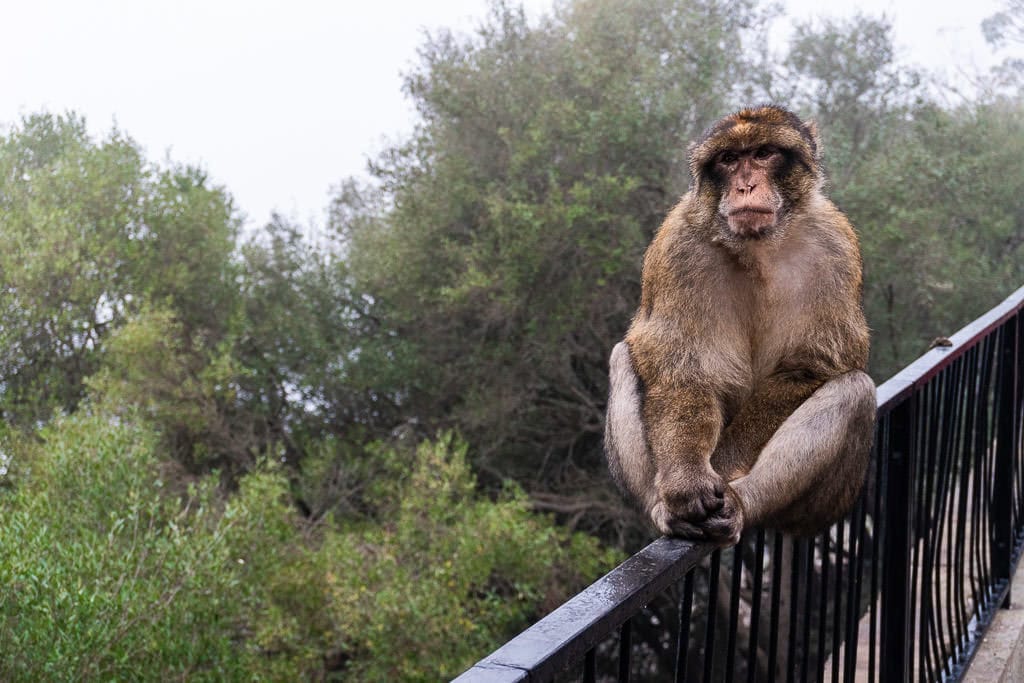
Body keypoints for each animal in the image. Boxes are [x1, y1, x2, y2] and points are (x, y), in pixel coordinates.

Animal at [602, 104, 876, 548]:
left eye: (763, 153)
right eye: (729, 159)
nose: (745, 186)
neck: (758, 247)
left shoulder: (836, 247)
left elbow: (812, 365)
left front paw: (724, 464)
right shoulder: (677, 246)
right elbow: (680, 366)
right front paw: (688, 480)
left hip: (821, 508)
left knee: (856, 391)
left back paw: (741, 503)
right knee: (623, 356)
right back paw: (664, 510)